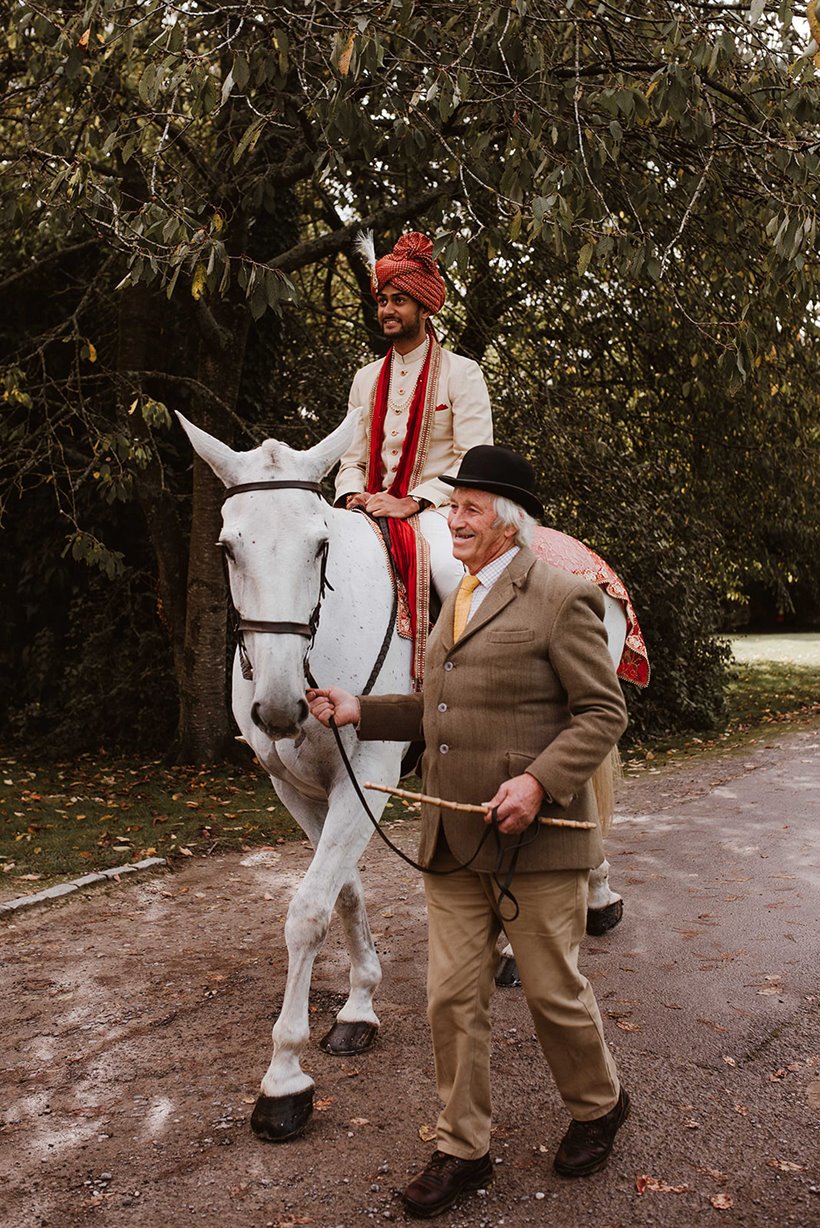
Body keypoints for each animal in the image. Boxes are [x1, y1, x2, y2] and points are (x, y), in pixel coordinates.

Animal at [179, 415, 623, 1139]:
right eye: (228, 547)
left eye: (320, 544)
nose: (277, 707)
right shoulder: (296, 788)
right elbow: (345, 893)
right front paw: (359, 1006)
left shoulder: (366, 777)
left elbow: (307, 911)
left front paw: (284, 1080)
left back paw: (585, 908)